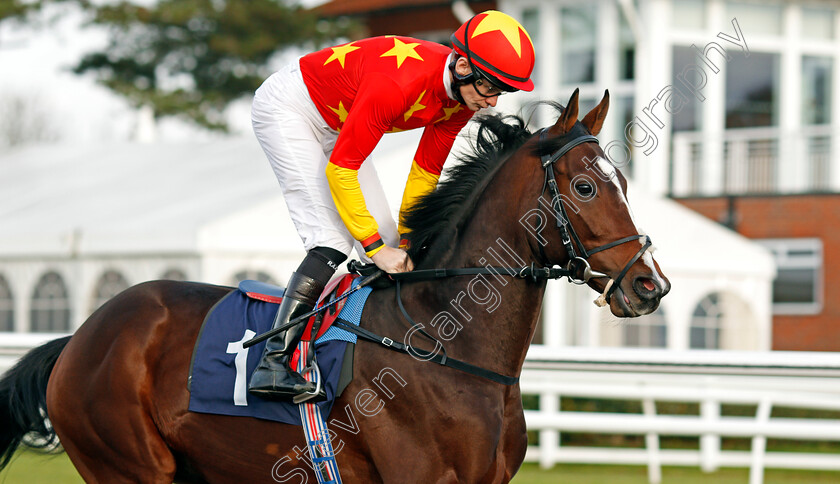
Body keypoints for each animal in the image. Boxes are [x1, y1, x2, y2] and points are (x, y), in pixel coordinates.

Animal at [0, 89, 668, 482]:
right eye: (585, 186)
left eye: (624, 182)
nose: (649, 286)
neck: (446, 345)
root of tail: (80, 337)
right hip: (127, 465)